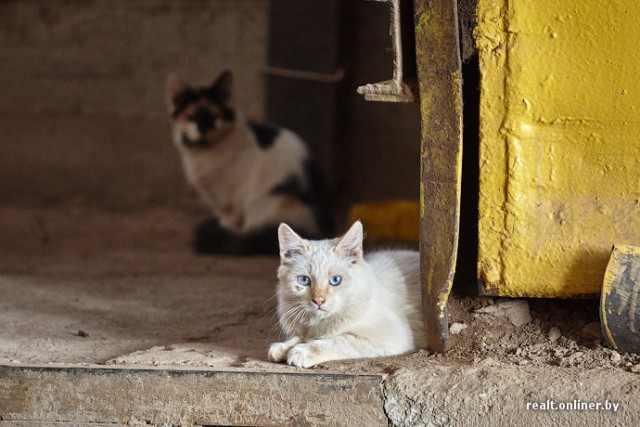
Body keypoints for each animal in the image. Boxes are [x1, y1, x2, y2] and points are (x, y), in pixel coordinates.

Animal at [165, 71, 332, 254]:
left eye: (215, 117)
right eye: (191, 117)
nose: (204, 127)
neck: (205, 151)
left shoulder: (231, 202)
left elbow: (228, 223)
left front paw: (224, 233)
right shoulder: (217, 200)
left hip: (264, 205)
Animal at [268, 221, 424, 368]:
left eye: (335, 280)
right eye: (304, 280)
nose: (318, 300)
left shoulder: (393, 335)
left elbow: (339, 340)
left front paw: (301, 351)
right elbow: (300, 336)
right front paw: (283, 347)